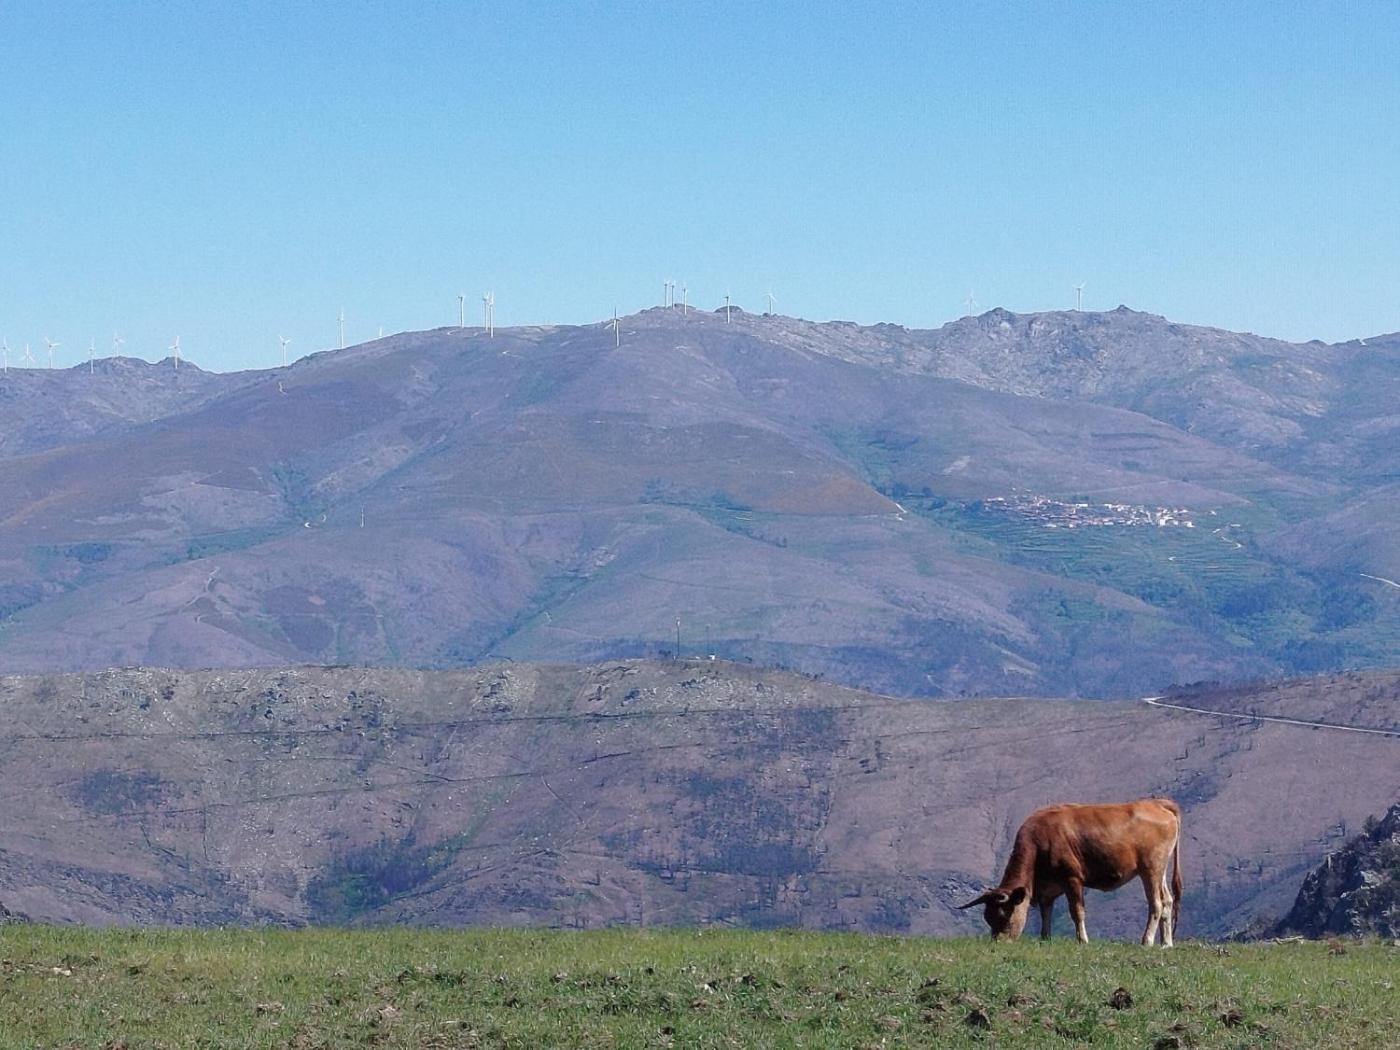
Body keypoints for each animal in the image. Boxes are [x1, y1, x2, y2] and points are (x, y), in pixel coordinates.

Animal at [959, 797, 1183, 946]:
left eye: (1004, 916)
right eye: (987, 918)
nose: (997, 942)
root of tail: (1157, 803)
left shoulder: (1072, 878)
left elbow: (1077, 911)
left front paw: (1082, 940)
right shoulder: (1047, 889)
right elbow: (1045, 913)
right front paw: (1045, 938)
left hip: (1150, 867)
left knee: (1156, 903)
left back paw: (1147, 941)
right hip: (1160, 869)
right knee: (1168, 900)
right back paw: (1166, 943)